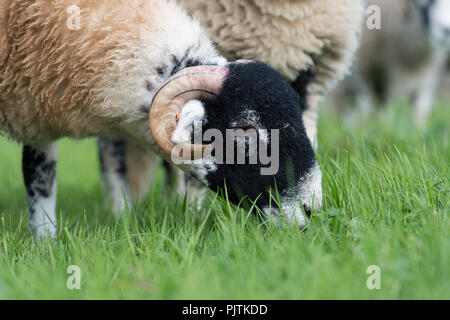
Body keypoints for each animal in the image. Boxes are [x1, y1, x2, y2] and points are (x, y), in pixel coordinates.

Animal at [0, 0, 324, 235]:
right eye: (244, 130)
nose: (312, 207)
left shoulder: (35, 101)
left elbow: (44, 177)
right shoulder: (34, 106)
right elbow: (41, 178)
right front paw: (44, 241)